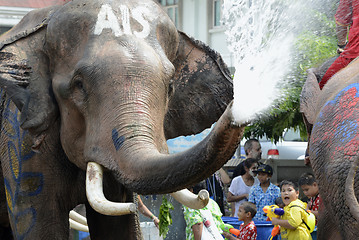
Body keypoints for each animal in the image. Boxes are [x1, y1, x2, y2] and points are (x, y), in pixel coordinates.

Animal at [0, 0, 248, 240]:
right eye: (79, 85)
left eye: (170, 86)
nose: (240, 102)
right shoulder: (20, 139)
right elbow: (35, 219)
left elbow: (117, 224)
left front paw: (128, 209)